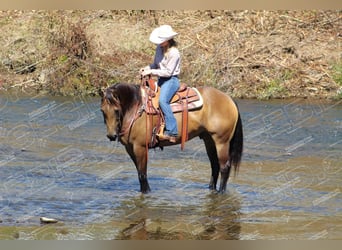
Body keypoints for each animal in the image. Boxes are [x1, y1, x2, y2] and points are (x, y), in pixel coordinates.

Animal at [99, 80, 243, 193]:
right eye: (102, 111)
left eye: (116, 110)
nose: (111, 135)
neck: (136, 107)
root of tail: (229, 99)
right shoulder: (130, 148)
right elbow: (140, 173)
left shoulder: (140, 147)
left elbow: (142, 175)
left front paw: (146, 192)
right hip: (209, 140)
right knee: (215, 165)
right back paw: (211, 189)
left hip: (221, 141)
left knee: (224, 167)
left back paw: (221, 192)